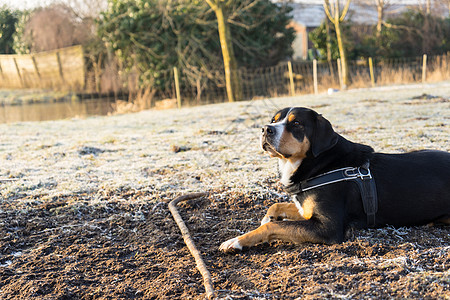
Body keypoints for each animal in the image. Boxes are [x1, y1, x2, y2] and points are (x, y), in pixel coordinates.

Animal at [219, 106, 450, 252]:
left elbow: (271, 228)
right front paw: (269, 217)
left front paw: (236, 241)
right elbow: (276, 206)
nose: (266, 129)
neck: (320, 163)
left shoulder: (328, 228)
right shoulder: (307, 209)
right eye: (274, 120)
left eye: (297, 124)